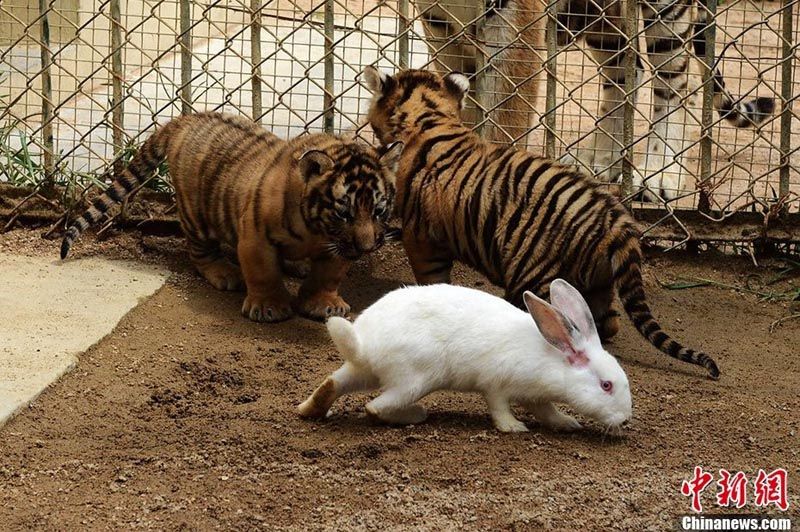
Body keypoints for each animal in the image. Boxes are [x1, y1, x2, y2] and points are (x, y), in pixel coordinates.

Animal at [60, 112, 403, 323]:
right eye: (344, 213)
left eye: (378, 210)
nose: (367, 248)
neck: (316, 229)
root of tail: (185, 119)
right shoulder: (256, 238)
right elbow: (263, 273)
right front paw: (269, 308)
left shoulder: (337, 247)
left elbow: (328, 275)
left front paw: (324, 304)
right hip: (197, 215)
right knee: (200, 252)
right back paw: (224, 273)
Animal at [363, 66, 720, 378]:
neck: (428, 117)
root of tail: (617, 225)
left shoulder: (421, 237)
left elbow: (431, 279)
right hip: (599, 283)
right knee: (606, 322)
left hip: (537, 275)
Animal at [413, 0, 775, 201]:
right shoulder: (439, 22)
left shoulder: (511, 22)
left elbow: (503, 119)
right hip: (605, 23)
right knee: (627, 72)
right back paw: (603, 162)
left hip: (666, 16)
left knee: (679, 84)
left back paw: (659, 176)